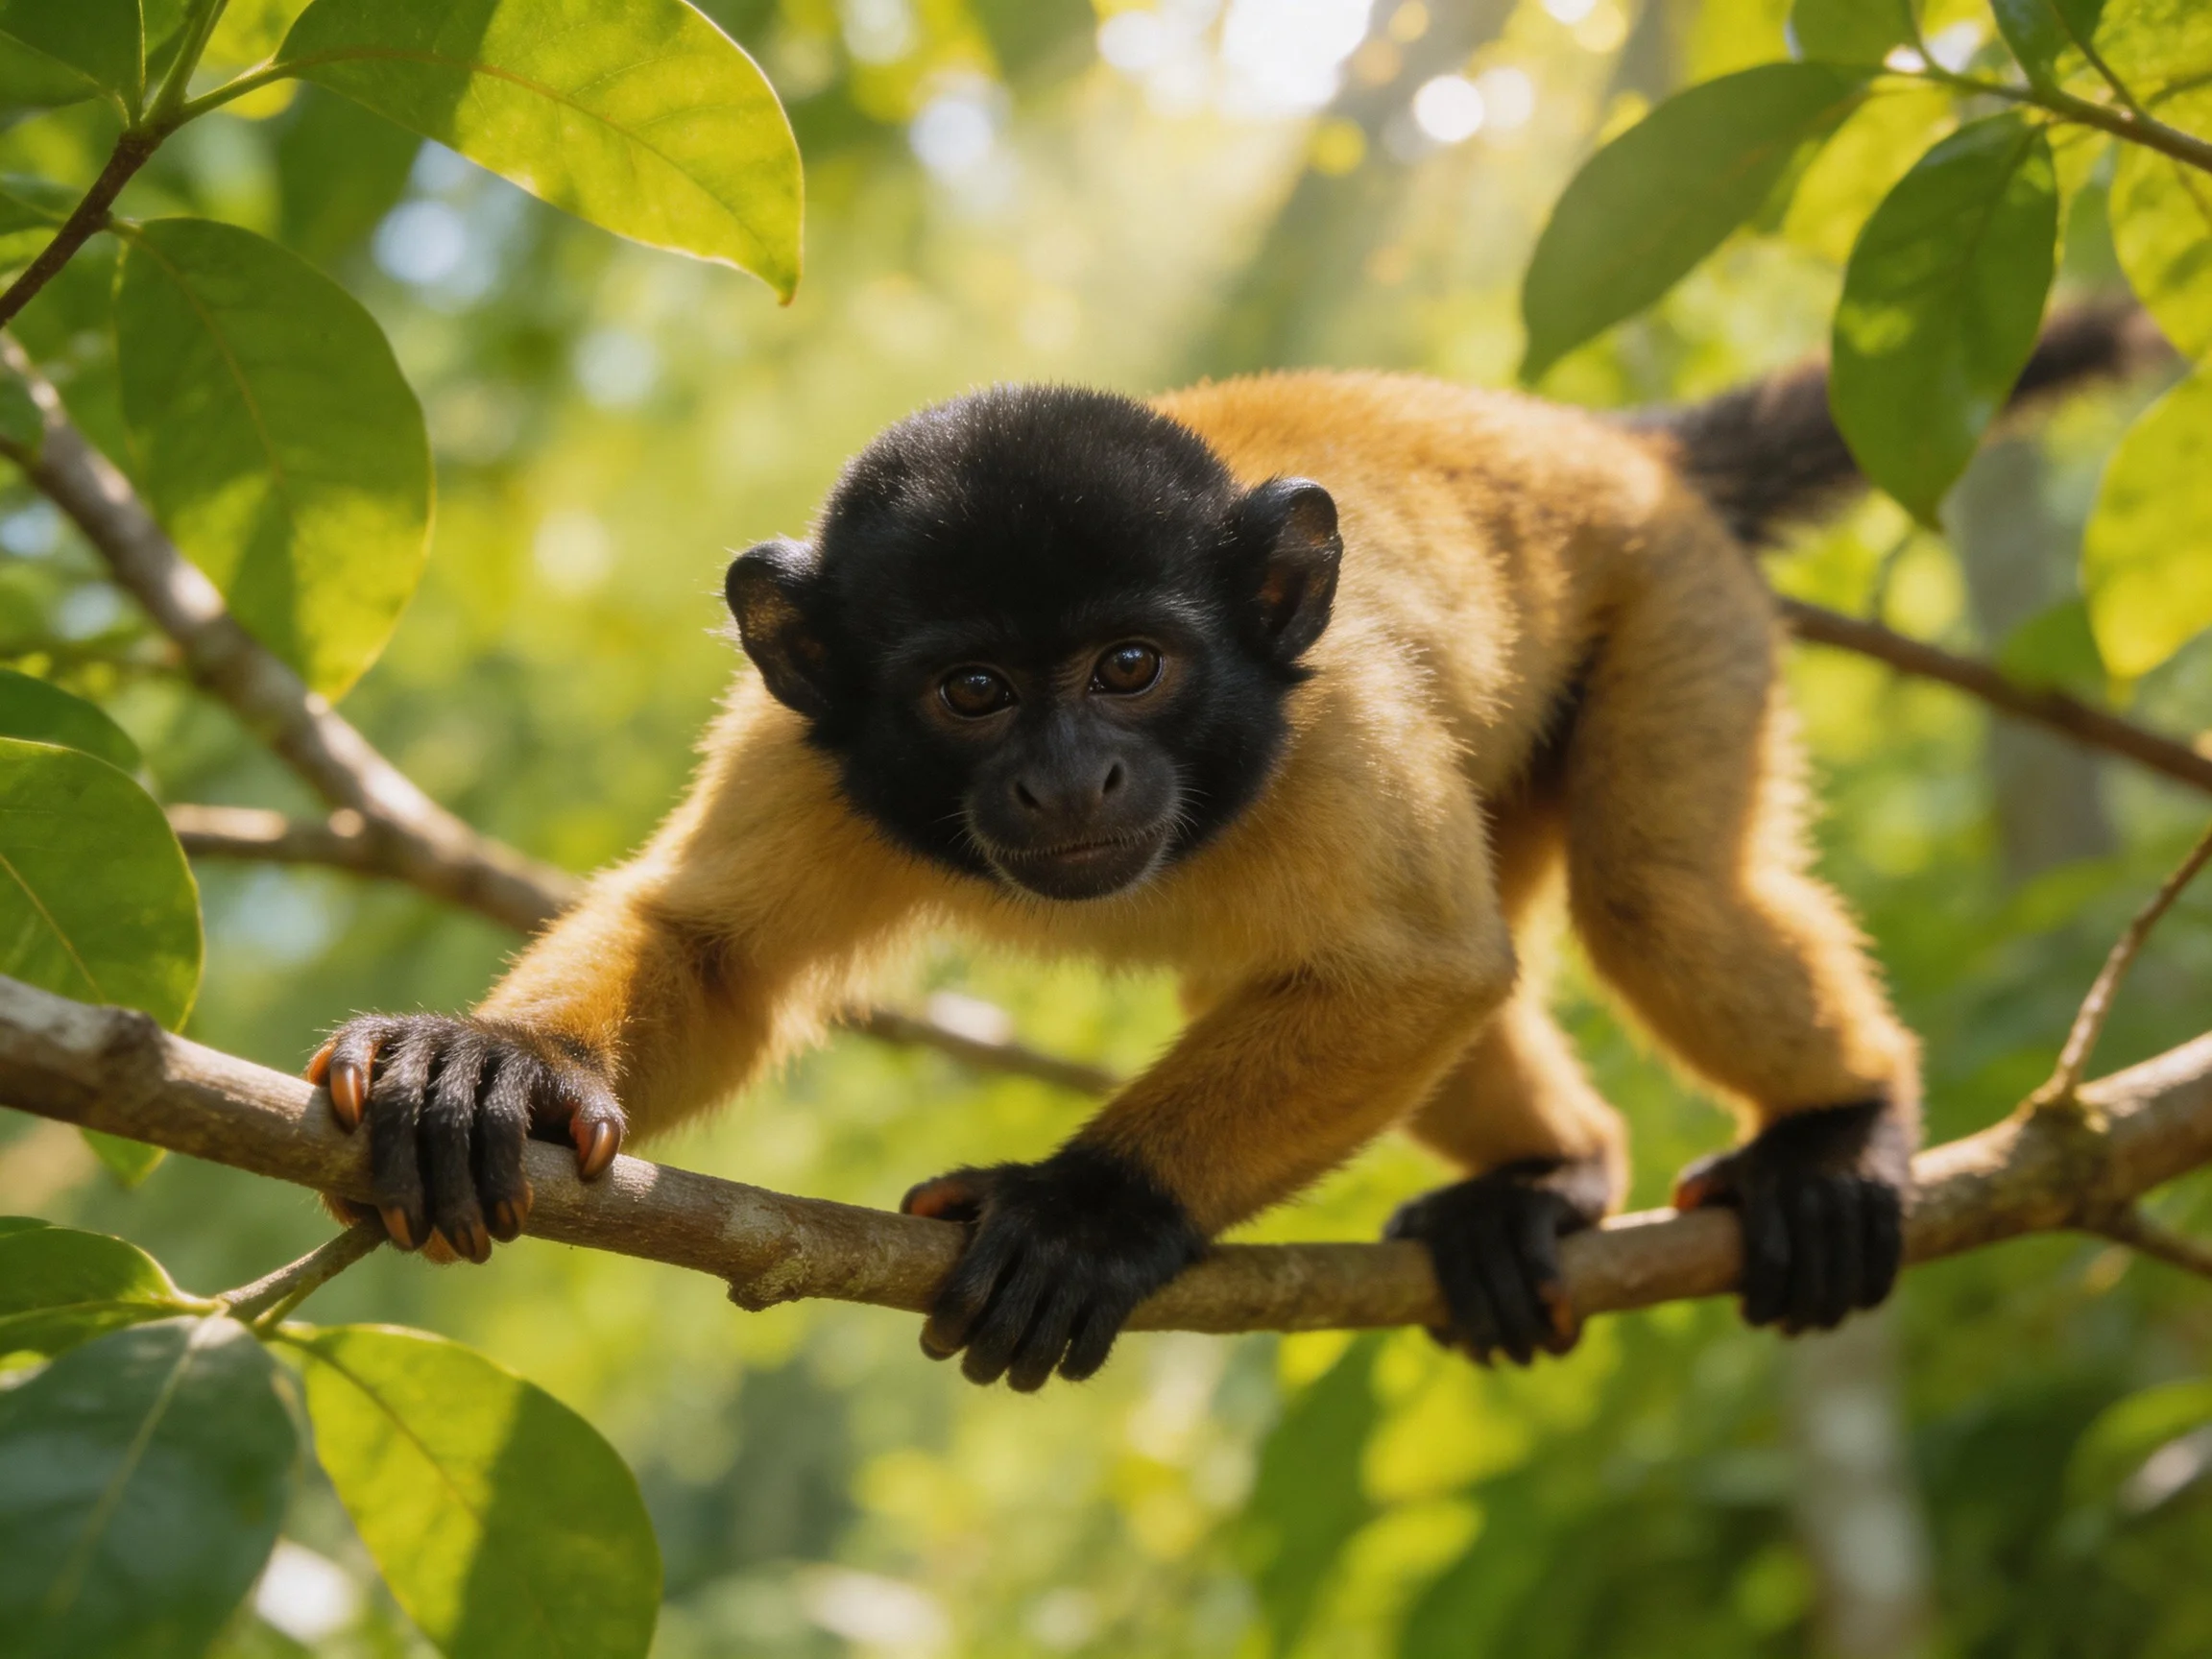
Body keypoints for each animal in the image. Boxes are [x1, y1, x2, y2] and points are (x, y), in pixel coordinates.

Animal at [308, 304, 2152, 1388]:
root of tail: (1603, 442)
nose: (1071, 782)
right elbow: (711, 947)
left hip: (1673, 594)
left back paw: (1839, 1129)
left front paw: (1085, 1215)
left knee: (1651, 892)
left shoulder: (1328, 729)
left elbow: (1421, 970)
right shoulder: (807, 745)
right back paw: (1546, 1180)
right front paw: (497, 1064)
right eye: (973, 692)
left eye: (1132, 666)